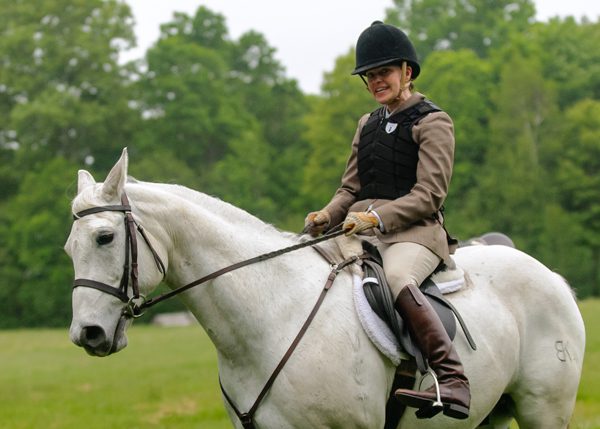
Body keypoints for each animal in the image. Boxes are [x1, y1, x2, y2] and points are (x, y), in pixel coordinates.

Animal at [67, 149, 584, 426]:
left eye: (105, 237)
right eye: (70, 247)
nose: (87, 334)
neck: (271, 316)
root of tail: (552, 277)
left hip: (544, 411)